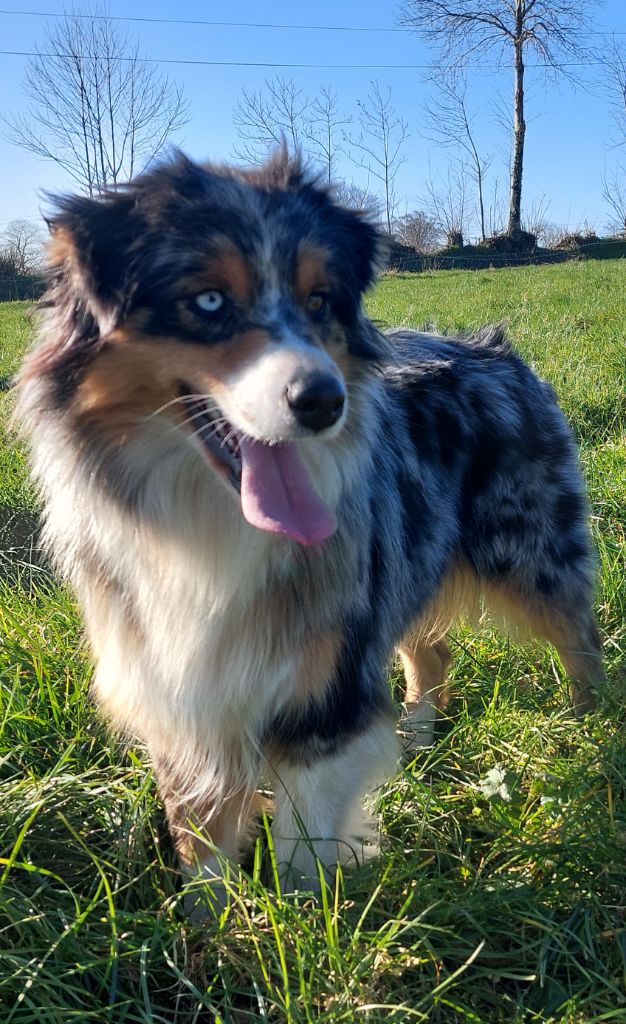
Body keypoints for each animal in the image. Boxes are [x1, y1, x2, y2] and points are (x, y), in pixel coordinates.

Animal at [16, 150, 603, 898]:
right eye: (208, 301)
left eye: (320, 301)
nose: (325, 401)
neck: (210, 521)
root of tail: (497, 349)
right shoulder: (177, 681)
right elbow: (200, 837)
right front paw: (213, 920)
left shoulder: (328, 678)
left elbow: (304, 835)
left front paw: (304, 914)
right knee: (432, 652)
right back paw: (415, 739)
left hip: (529, 549)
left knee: (580, 635)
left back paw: (589, 732)